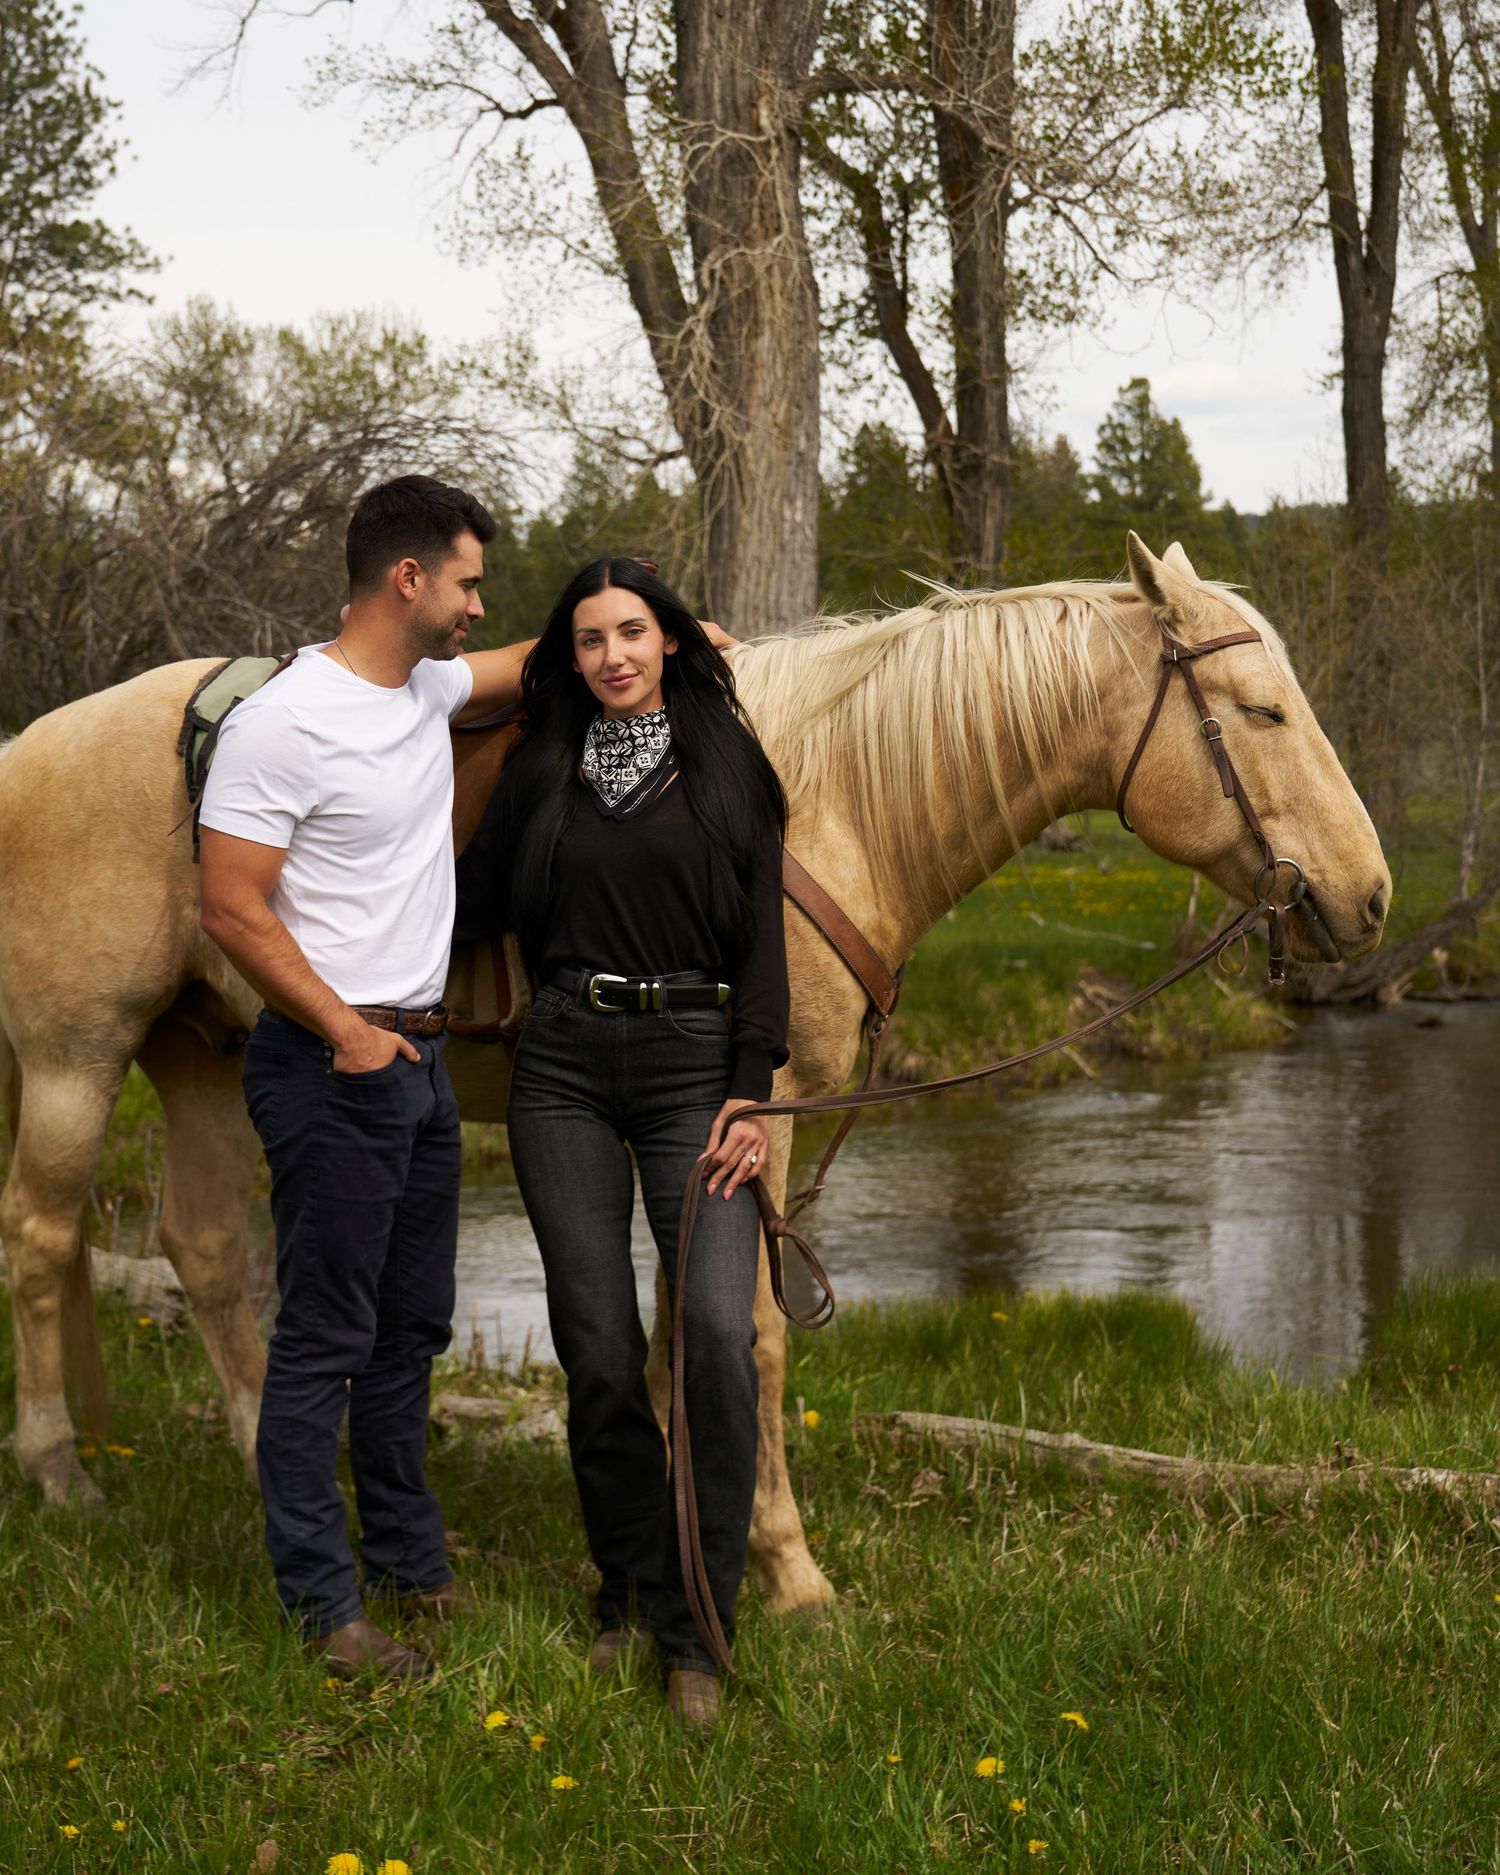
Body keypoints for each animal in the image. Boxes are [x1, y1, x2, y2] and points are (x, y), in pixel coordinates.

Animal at [0, 534, 1389, 1623]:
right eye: (1262, 712)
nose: (1368, 897)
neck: (826, 805)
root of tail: (30, 749)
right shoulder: (757, 1123)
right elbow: (759, 1338)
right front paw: (788, 1570)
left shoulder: (709, 1133)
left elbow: (683, 1333)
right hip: (80, 1056)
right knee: (41, 1234)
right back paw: (61, 1472)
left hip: (203, 1052)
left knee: (205, 1247)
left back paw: (263, 1470)